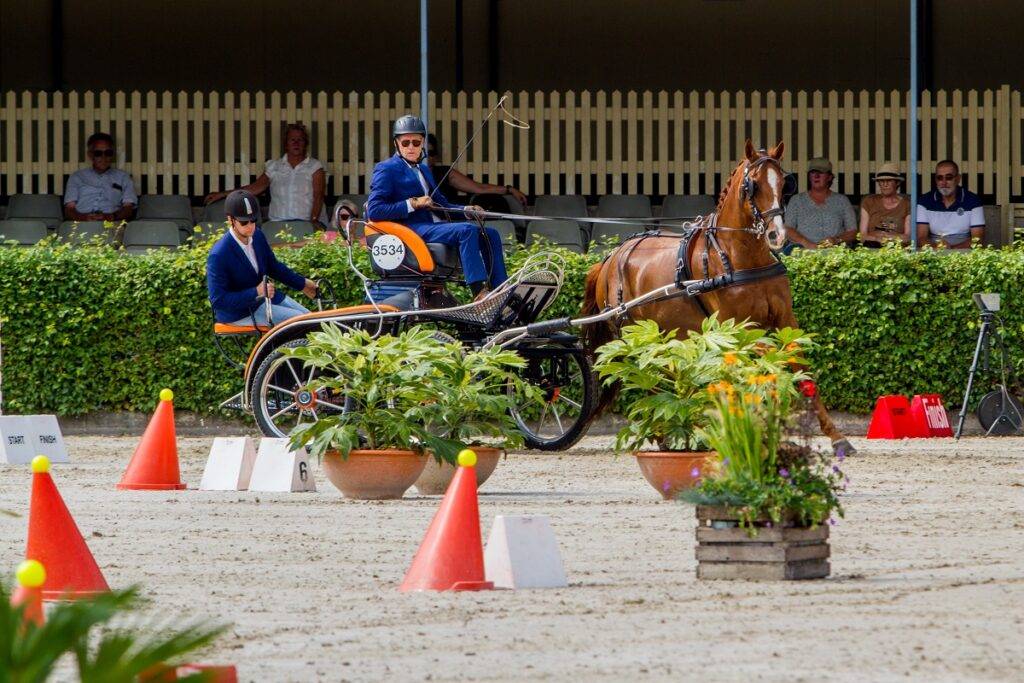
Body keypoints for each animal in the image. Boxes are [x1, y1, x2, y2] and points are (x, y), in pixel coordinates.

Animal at [580, 140, 854, 455]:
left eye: (784, 183)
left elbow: (801, 368)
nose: (776, 235)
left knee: (662, 372)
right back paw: (664, 436)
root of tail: (611, 257)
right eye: (752, 185)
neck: (739, 257)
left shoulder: (785, 319)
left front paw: (836, 436)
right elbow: (768, 362)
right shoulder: (737, 329)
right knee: (645, 374)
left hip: (659, 334)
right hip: (631, 332)